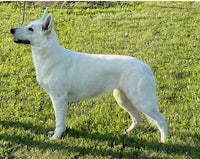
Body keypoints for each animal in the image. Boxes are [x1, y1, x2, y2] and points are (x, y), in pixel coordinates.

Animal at [10, 8, 167, 143]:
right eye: (28, 25)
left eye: (30, 29)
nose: (11, 30)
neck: (49, 55)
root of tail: (146, 66)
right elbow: (62, 121)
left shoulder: (59, 98)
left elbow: (59, 121)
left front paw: (56, 137)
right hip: (123, 98)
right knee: (138, 118)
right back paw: (127, 133)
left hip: (142, 101)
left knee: (162, 120)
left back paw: (164, 141)